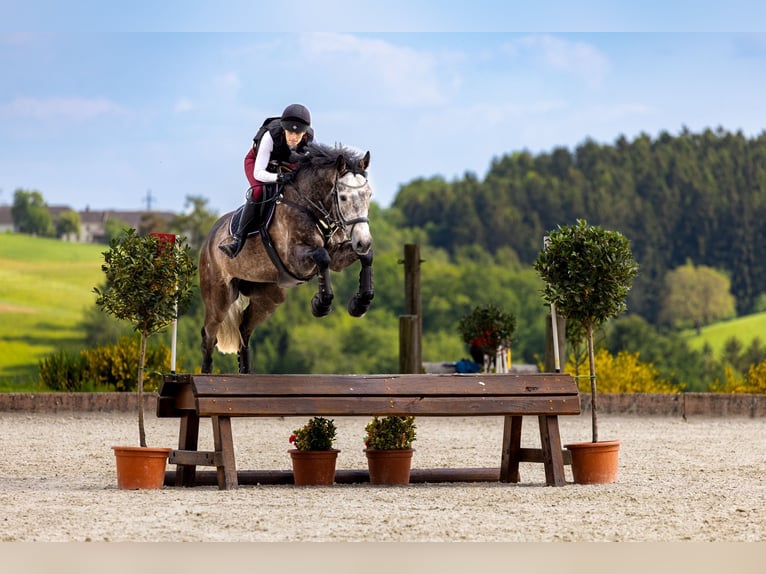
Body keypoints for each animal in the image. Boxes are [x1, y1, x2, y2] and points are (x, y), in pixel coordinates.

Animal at [201, 143, 376, 376]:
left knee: (243, 330)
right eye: (344, 197)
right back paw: (205, 374)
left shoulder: (339, 256)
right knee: (209, 334)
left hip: (268, 297)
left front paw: (360, 304)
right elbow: (322, 256)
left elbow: (365, 257)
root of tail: (209, 239)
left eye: (369, 195)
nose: (363, 241)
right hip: (219, 296)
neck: (312, 206)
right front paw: (320, 304)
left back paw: (246, 371)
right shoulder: (295, 260)